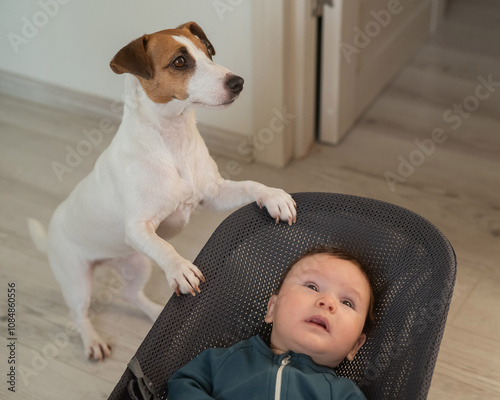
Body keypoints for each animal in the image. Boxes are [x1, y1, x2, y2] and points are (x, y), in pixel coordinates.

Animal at [28, 21, 296, 360]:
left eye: (207, 52)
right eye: (180, 61)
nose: (238, 82)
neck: (172, 139)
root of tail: (51, 233)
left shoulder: (214, 193)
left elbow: (251, 185)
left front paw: (274, 197)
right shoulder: (138, 228)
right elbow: (165, 248)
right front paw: (180, 268)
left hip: (137, 263)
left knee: (131, 295)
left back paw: (155, 312)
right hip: (77, 280)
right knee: (78, 313)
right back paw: (92, 340)